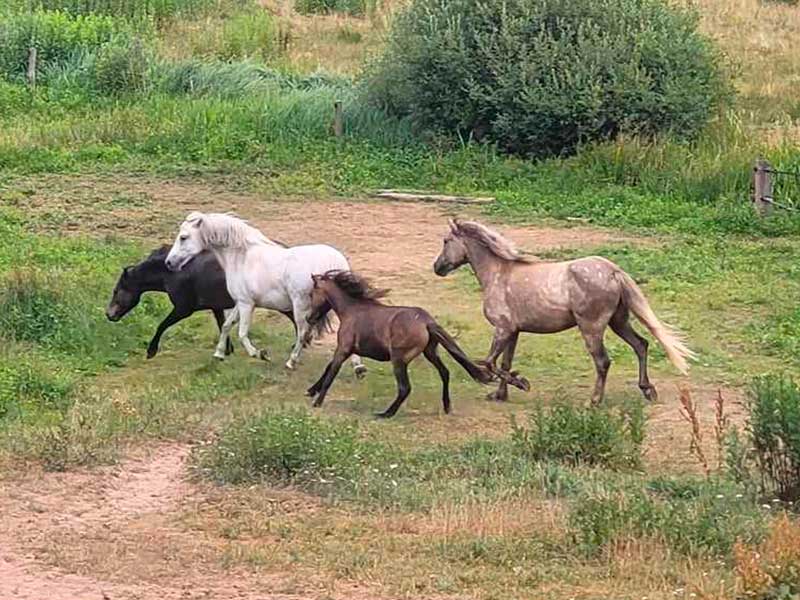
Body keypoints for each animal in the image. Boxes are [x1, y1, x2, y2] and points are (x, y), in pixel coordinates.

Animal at [166, 212, 366, 376]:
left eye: (183, 237)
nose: (169, 263)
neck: (242, 257)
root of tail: (331, 263)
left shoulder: (247, 304)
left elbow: (242, 333)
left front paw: (259, 354)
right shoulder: (240, 302)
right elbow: (226, 325)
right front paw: (219, 354)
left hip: (300, 305)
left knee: (303, 332)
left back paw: (291, 361)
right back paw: (358, 367)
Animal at [304, 270, 520, 418]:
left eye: (311, 294)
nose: (309, 318)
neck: (351, 309)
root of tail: (426, 321)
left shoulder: (343, 349)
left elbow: (331, 372)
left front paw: (317, 401)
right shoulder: (346, 350)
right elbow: (328, 368)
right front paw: (311, 391)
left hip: (399, 359)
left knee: (405, 388)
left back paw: (386, 413)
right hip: (430, 352)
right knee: (445, 373)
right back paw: (446, 406)